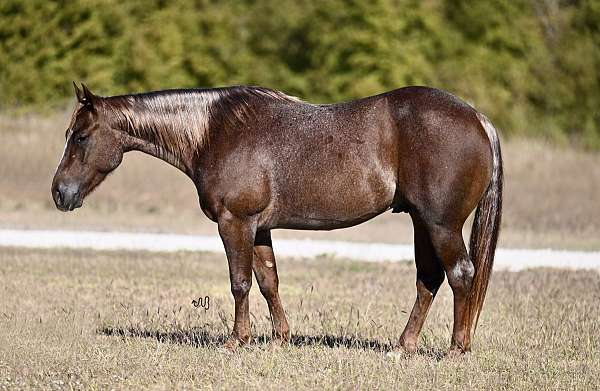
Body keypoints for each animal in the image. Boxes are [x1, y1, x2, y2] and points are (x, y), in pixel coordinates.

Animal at [51, 82, 502, 356]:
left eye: (81, 137)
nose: (60, 192)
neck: (215, 132)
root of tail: (479, 120)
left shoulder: (235, 223)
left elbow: (240, 282)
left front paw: (237, 340)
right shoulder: (260, 227)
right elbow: (269, 281)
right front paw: (280, 339)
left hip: (441, 225)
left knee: (460, 274)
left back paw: (456, 349)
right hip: (422, 223)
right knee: (429, 279)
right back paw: (403, 346)